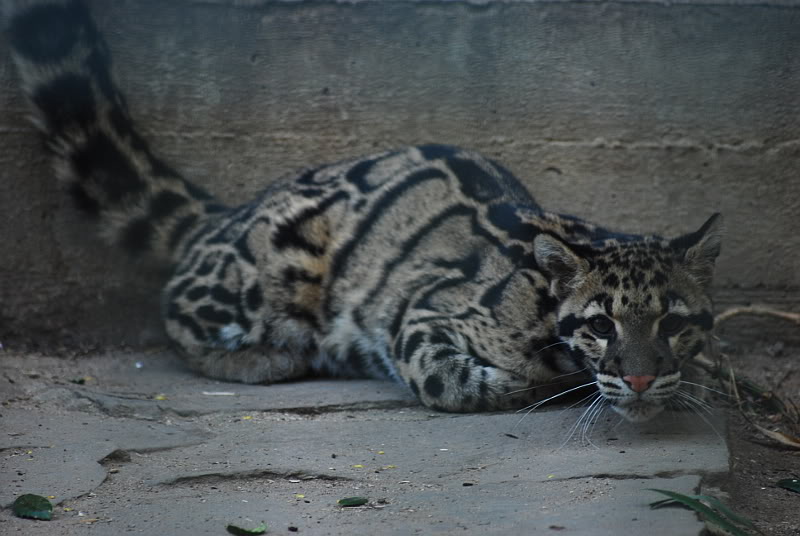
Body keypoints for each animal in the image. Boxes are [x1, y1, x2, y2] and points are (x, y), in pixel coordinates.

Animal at [4, 0, 722, 422]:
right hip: (271, 270)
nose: (639, 380)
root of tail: (229, 212)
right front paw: (512, 388)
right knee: (175, 311)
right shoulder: (426, 311)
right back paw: (267, 359)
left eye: (673, 321)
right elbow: (446, 377)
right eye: (601, 324)